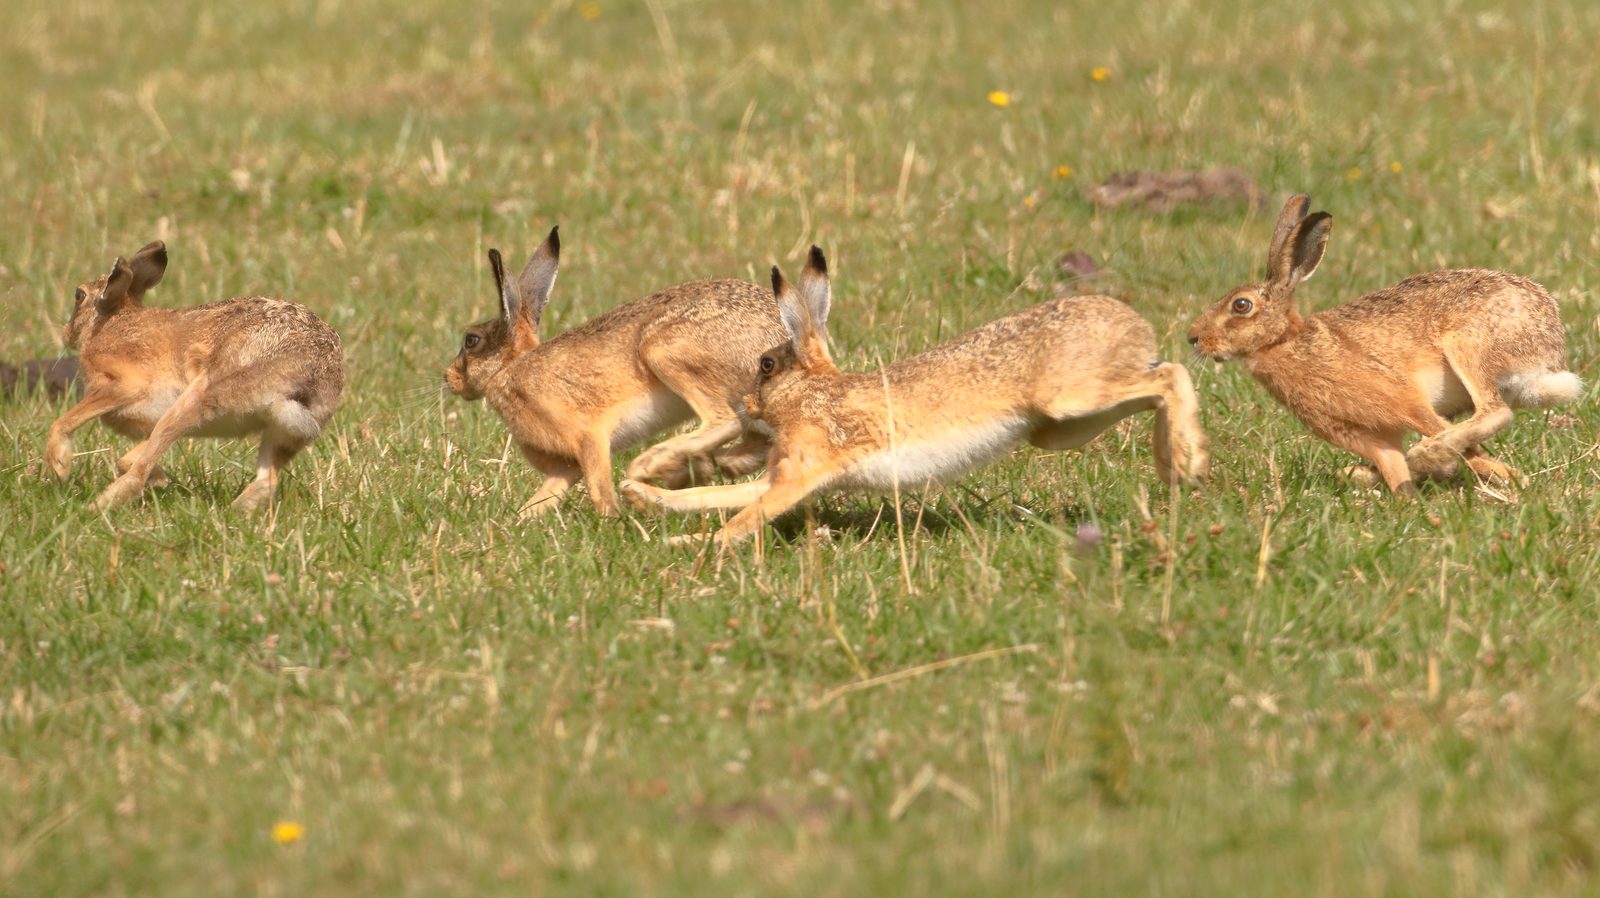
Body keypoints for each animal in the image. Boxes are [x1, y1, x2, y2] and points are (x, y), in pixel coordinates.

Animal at [46, 241, 344, 512]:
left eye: (79, 295)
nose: (66, 332)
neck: (109, 323)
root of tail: (310, 376)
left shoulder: (122, 385)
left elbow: (64, 422)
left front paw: (59, 466)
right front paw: (161, 479)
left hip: (199, 396)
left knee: (140, 469)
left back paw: (94, 509)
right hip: (282, 432)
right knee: (266, 480)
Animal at [443, 227, 788, 518]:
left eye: (471, 340)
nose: (449, 377)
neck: (509, 370)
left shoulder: (588, 435)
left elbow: (598, 486)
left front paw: (610, 519)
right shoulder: (566, 466)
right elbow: (549, 492)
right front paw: (522, 519)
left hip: (665, 350)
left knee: (722, 421)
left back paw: (649, 465)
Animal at [619, 246, 1209, 546]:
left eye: (765, 365)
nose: (747, 406)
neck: (813, 393)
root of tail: (1134, 326)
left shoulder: (804, 471)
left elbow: (746, 515)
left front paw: (699, 546)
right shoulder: (783, 475)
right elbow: (716, 497)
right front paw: (642, 498)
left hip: (1071, 399)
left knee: (1172, 374)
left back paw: (1188, 459)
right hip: (1061, 427)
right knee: (1158, 385)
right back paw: (1175, 465)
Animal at [1187, 193, 1581, 495]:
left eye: (1241, 306)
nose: (1193, 338)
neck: (1286, 341)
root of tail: (1550, 350)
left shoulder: (1404, 401)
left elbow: (1454, 438)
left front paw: (1502, 475)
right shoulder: (1365, 435)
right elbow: (1393, 464)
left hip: (1468, 345)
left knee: (1493, 411)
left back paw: (1429, 455)